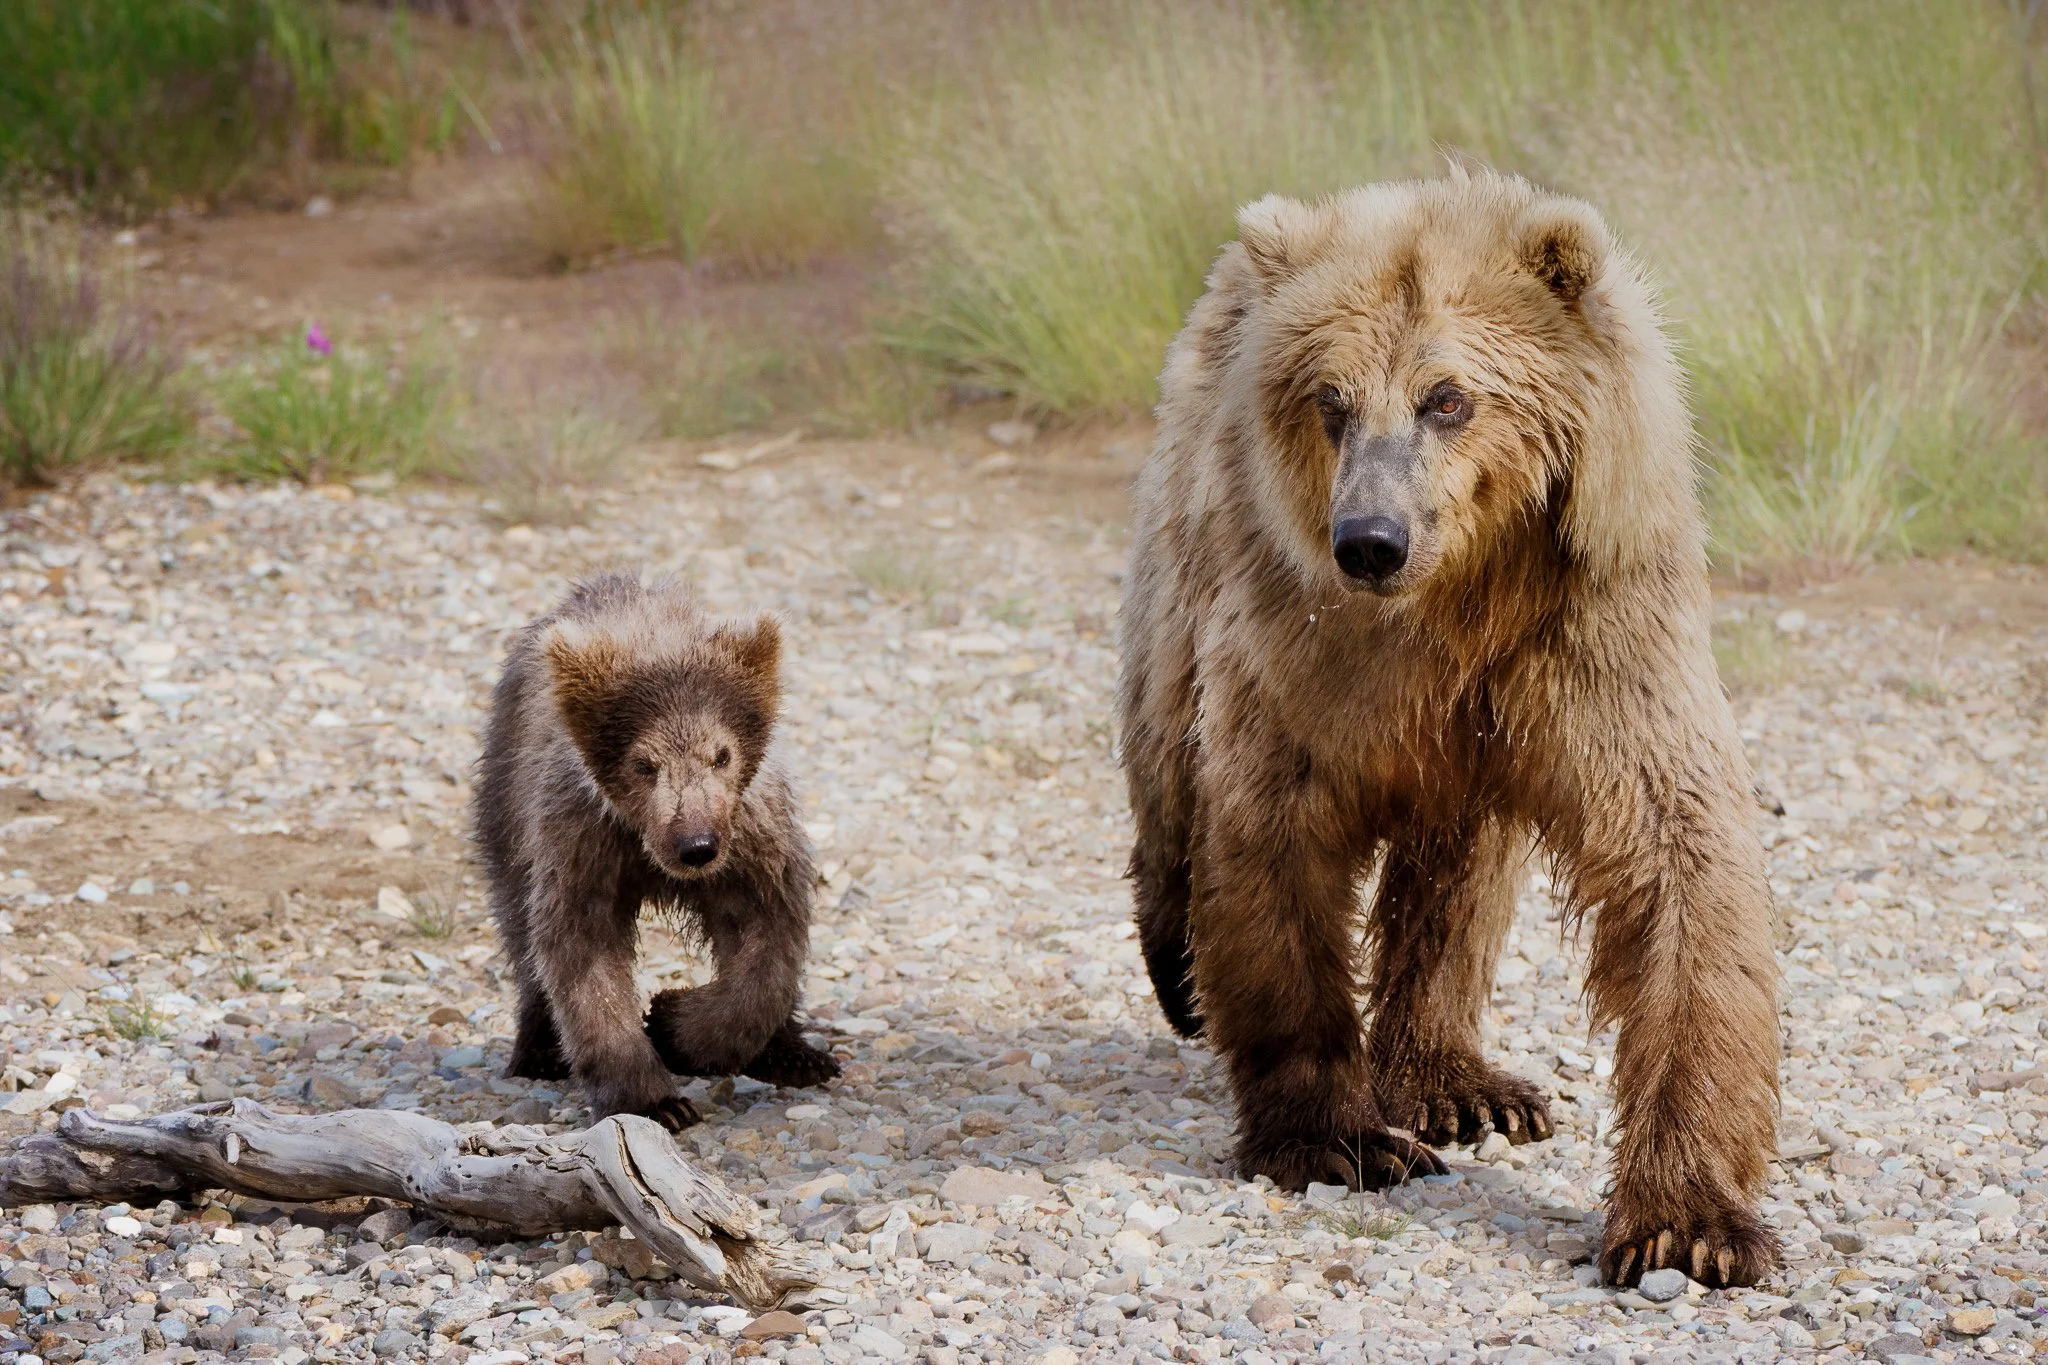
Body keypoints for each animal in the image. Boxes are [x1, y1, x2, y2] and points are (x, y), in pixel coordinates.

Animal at [473, 573, 837, 1130]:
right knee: (517, 919)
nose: (696, 847)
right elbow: (582, 952)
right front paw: (655, 1099)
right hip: (507, 804)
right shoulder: (585, 839)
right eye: (643, 763)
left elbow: (767, 945)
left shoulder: (752, 839)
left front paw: (673, 1023)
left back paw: (797, 1054)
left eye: (722, 754)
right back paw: (539, 1050)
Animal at [1116, 169, 1780, 1289]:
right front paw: (1337, 1137)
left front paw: (1688, 1221)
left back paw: (1459, 1083)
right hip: (1190, 533)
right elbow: (1273, 838)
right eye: (1331, 400)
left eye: (1448, 398)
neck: (1460, 601)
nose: (1369, 540)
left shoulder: (1594, 639)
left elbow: (1677, 864)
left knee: (1459, 875)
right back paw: (1177, 968)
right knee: (1165, 744)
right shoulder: (1305, 649)